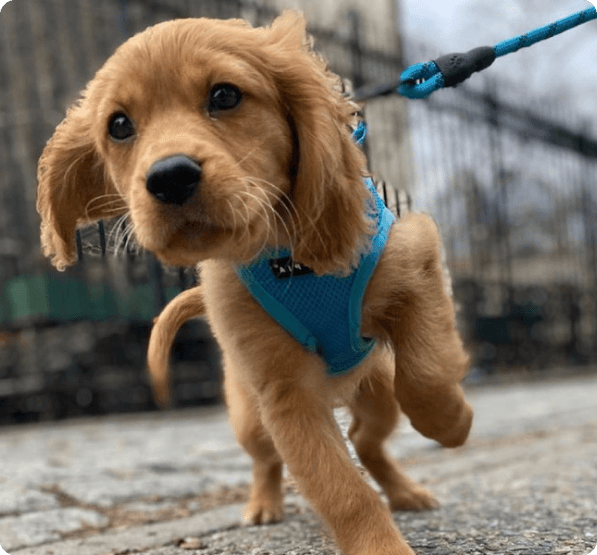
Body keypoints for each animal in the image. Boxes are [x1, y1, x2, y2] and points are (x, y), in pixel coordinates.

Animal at [38, 13, 474, 555]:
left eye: (225, 96)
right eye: (119, 126)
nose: (169, 177)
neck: (284, 255)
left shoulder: (418, 258)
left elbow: (427, 372)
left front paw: (451, 423)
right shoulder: (285, 394)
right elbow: (341, 489)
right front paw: (381, 546)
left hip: (377, 394)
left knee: (367, 438)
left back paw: (407, 491)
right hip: (250, 414)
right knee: (271, 458)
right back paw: (264, 505)